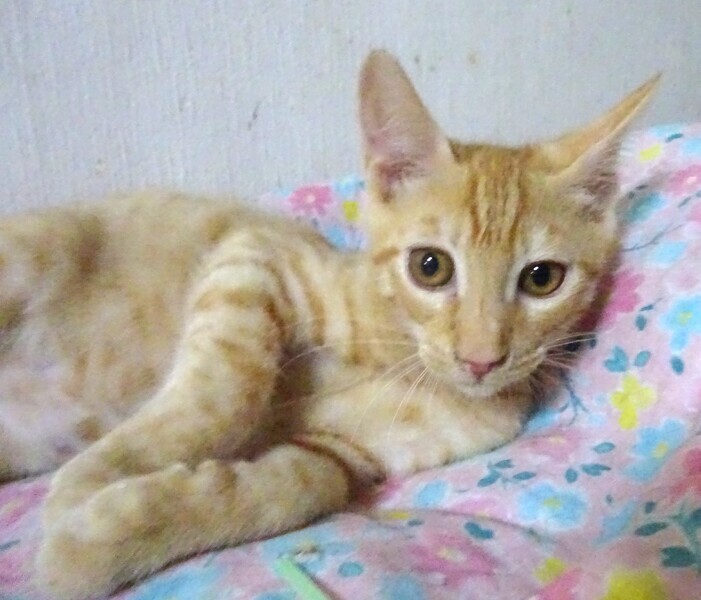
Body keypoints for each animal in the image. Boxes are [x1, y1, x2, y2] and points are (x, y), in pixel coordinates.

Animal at [0, 50, 655, 598]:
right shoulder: (251, 257)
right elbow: (221, 395)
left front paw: (96, 540)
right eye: (430, 267)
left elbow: (299, 486)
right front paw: (91, 482)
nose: (480, 359)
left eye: (542, 279)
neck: (403, 359)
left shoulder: (342, 452)